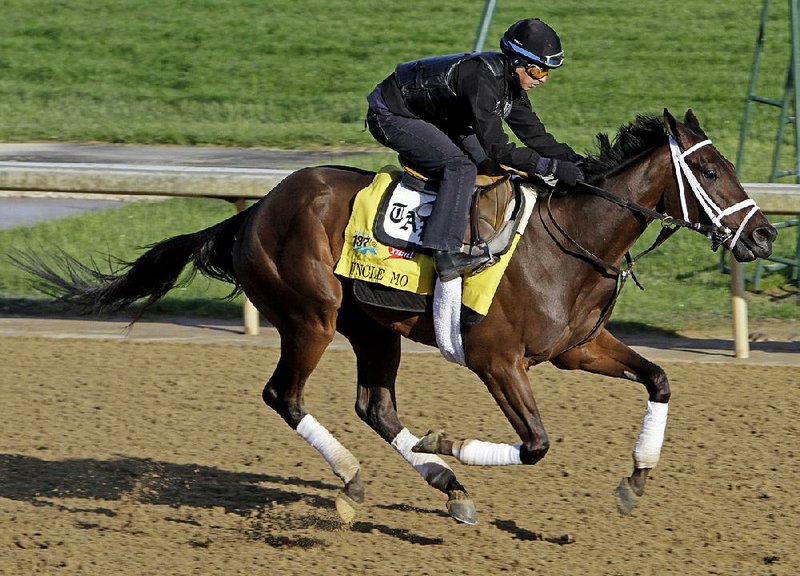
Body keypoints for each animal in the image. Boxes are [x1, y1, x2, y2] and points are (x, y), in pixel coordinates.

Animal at [17, 109, 776, 528]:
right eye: (711, 172)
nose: (765, 236)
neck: (570, 241)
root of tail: (254, 211)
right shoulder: (496, 360)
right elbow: (536, 444)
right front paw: (450, 440)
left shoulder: (577, 346)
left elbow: (659, 380)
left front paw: (634, 480)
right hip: (312, 316)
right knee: (284, 395)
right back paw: (364, 476)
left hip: (373, 328)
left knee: (374, 406)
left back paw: (447, 486)